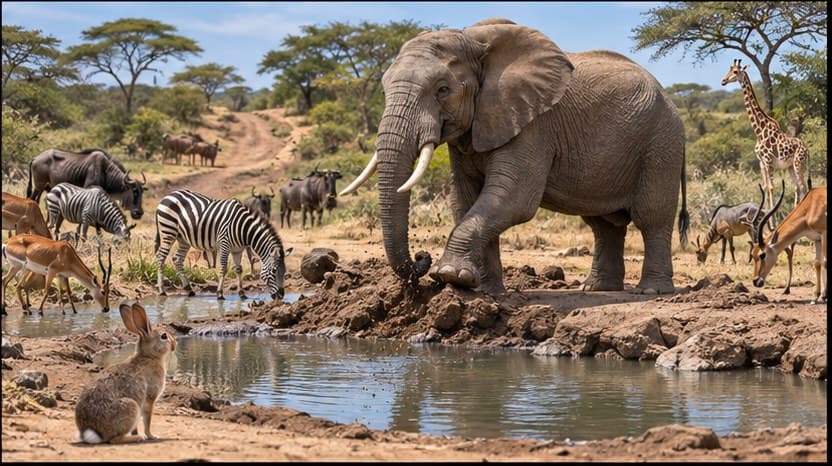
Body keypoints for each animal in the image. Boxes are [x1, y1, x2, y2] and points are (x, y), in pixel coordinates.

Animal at [341, 18, 689, 295]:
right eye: (383, 90)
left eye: (442, 89)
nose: (420, 259)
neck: (473, 40)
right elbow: (466, 199)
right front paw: (483, 290)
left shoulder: (533, 124)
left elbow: (513, 198)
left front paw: (449, 275)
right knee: (603, 224)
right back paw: (596, 289)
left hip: (662, 144)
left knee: (651, 216)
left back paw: (651, 291)